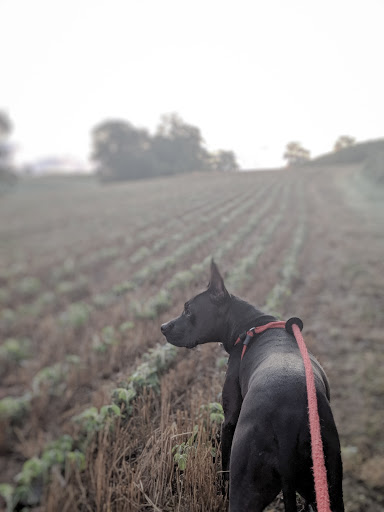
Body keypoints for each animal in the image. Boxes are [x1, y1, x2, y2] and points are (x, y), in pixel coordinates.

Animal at [160, 262, 344, 510]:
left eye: (188, 310)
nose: (163, 327)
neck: (250, 326)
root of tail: (286, 427)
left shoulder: (229, 418)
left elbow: (223, 460)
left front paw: (219, 489)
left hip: (246, 484)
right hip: (328, 484)